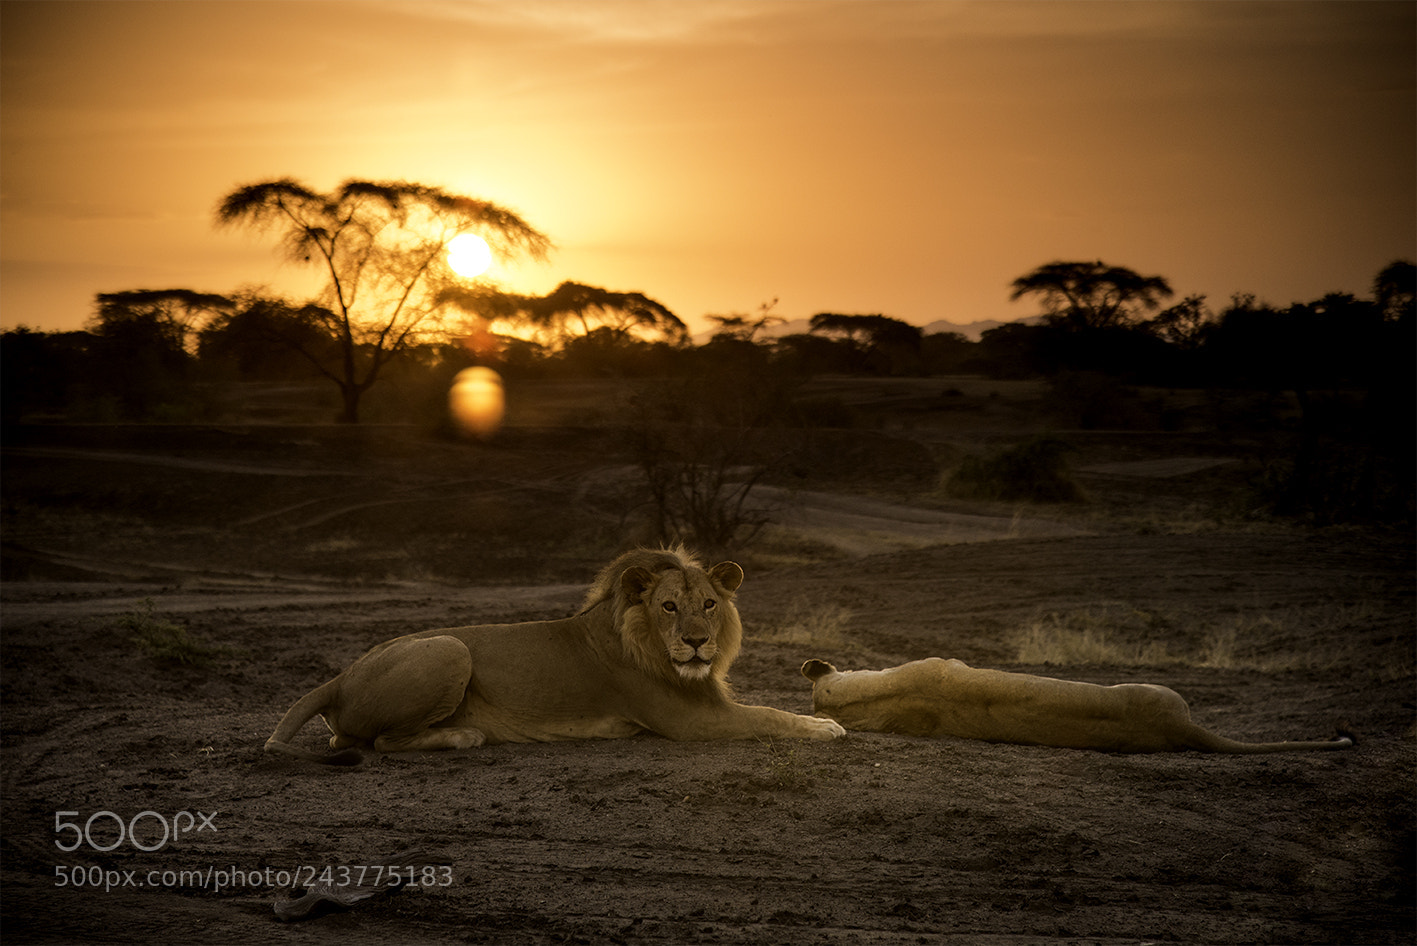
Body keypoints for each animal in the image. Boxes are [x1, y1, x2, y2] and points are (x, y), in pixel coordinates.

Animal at [265, 547, 844, 763]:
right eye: (669, 606)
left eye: (708, 604)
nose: (699, 641)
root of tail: (339, 677)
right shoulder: (689, 720)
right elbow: (769, 715)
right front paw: (827, 727)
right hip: (450, 648)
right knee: (382, 741)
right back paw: (465, 735)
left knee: (345, 738)